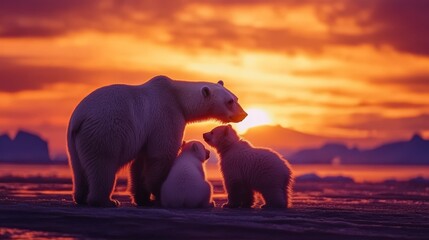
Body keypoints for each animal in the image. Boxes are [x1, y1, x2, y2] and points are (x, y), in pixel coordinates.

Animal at [67, 76, 247, 207]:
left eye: (236, 98)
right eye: (230, 101)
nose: (243, 114)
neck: (178, 97)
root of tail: (80, 118)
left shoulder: (145, 132)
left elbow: (139, 162)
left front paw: (143, 198)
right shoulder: (166, 116)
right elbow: (160, 155)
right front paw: (157, 196)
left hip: (75, 139)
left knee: (78, 168)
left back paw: (81, 197)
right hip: (104, 130)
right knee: (103, 163)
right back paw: (106, 200)